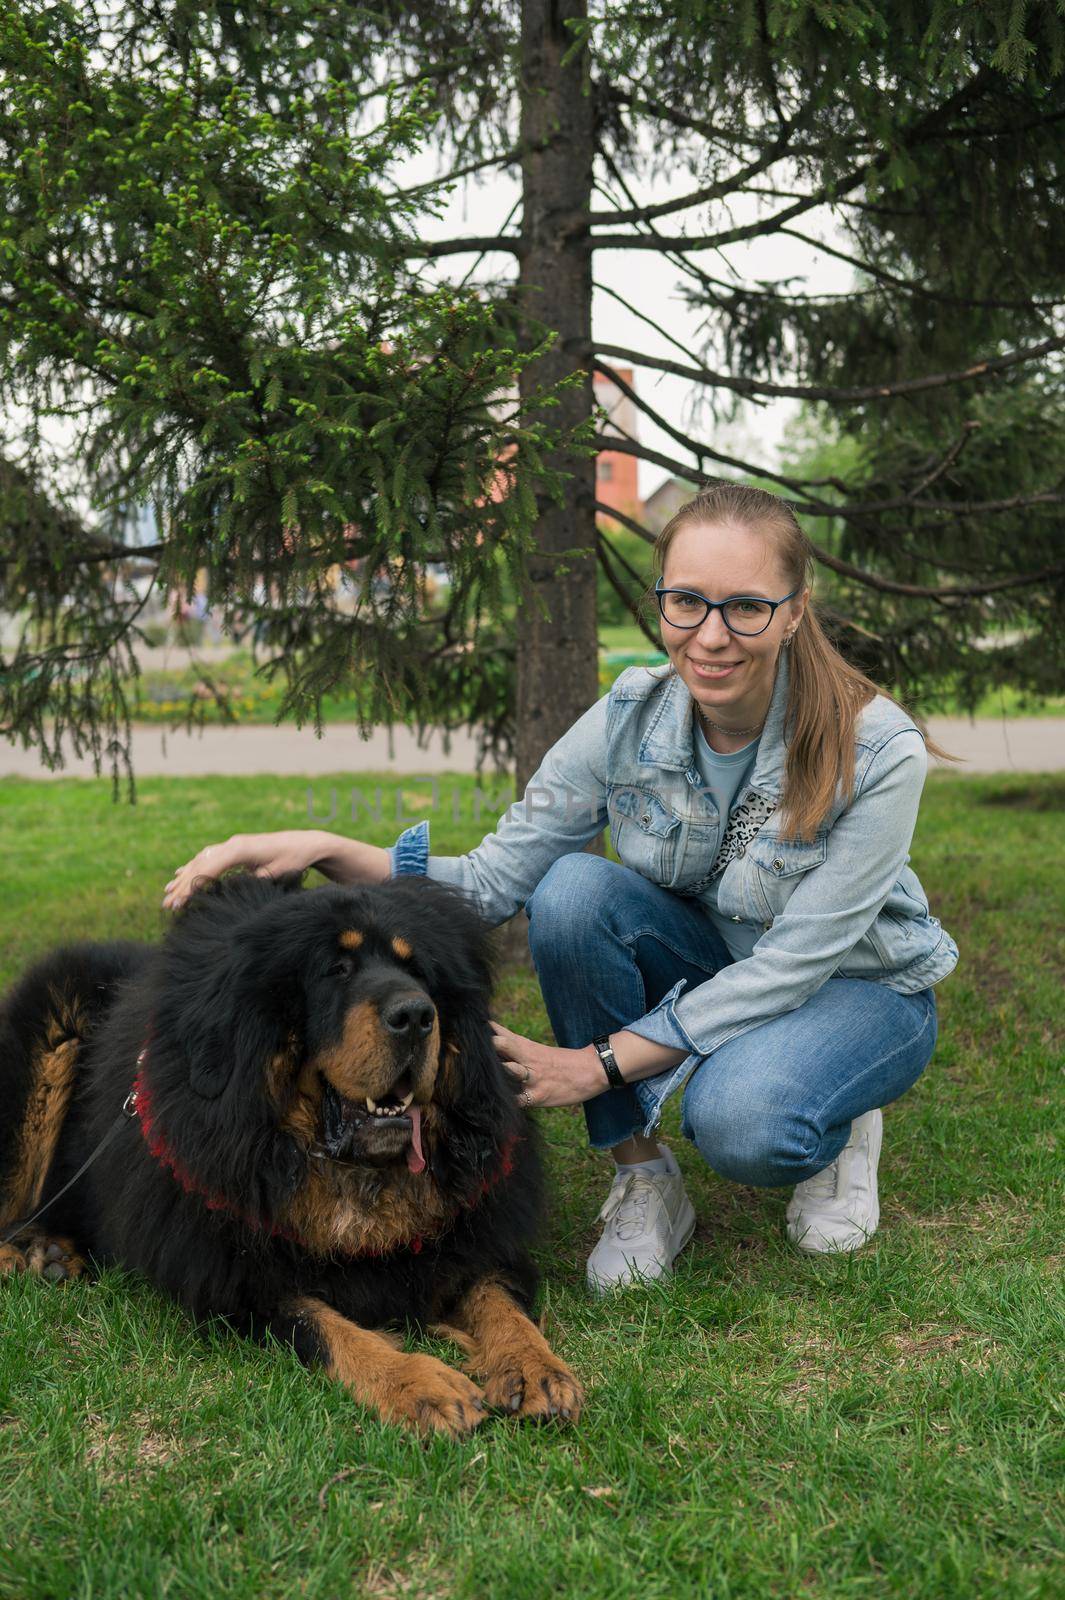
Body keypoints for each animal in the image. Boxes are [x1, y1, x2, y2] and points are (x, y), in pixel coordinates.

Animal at [0, 876, 582, 1440]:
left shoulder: (473, 1237)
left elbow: (497, 1297)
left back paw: (55, 1255)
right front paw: (418, 1383)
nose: (417, 1015)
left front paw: (533, 1367)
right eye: (336, 970)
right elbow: (324, 1326)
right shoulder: (235, 1279)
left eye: (418, 970)